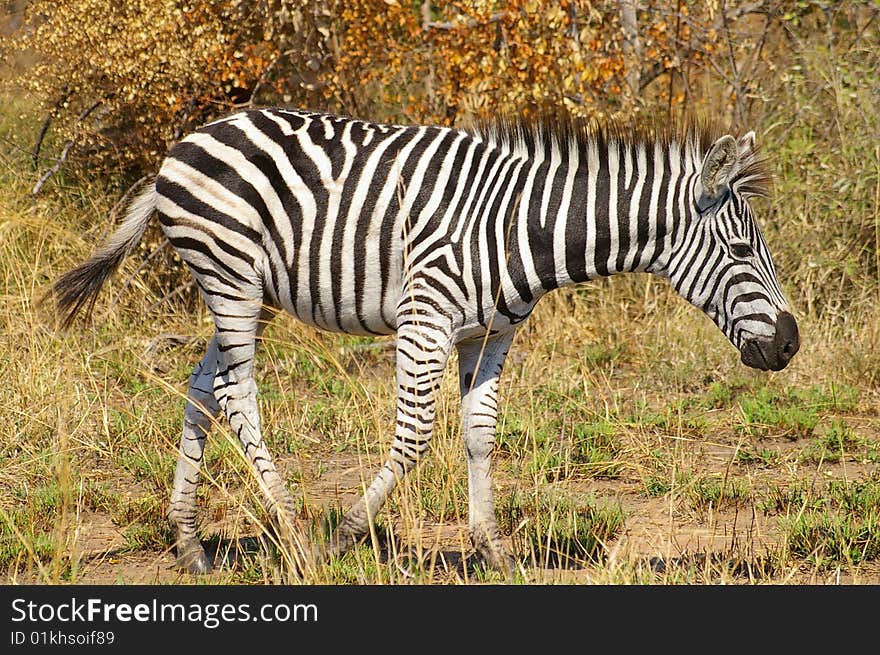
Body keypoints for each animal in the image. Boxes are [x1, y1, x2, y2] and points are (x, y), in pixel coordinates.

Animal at [51, 107, 800, 580]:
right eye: (741, 250)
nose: (791, 344)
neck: (519, 228)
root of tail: (187, 141)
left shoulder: (491, 333)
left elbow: (481, 433)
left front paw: (494, 551)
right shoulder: (425, 317)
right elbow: (413, 437)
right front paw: (346, 536)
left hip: (248, 292)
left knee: (204, 387)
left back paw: (189, 544)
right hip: (229, 273)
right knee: (238, 394)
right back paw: (295, 532)